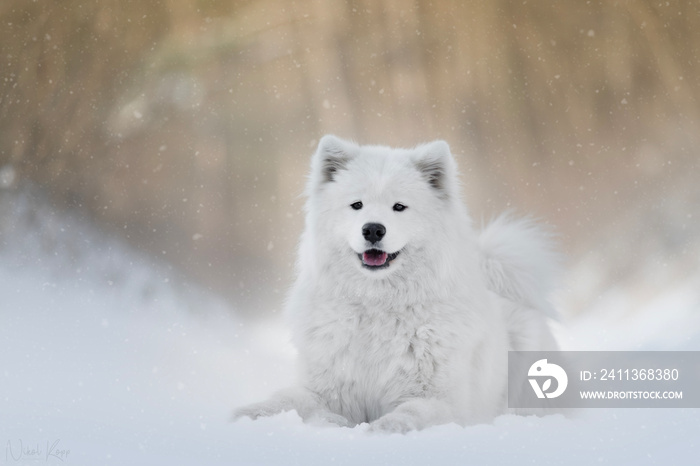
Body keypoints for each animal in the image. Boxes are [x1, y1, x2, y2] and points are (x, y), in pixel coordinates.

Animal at [234, 135, 556, 434]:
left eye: (399, 207)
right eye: (357, 205)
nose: (373, 229)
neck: (377, 306)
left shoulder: (442, 401)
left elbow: (410, 413)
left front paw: (382, 429)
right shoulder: (326, 388)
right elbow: (287, 399)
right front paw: (249, 414)